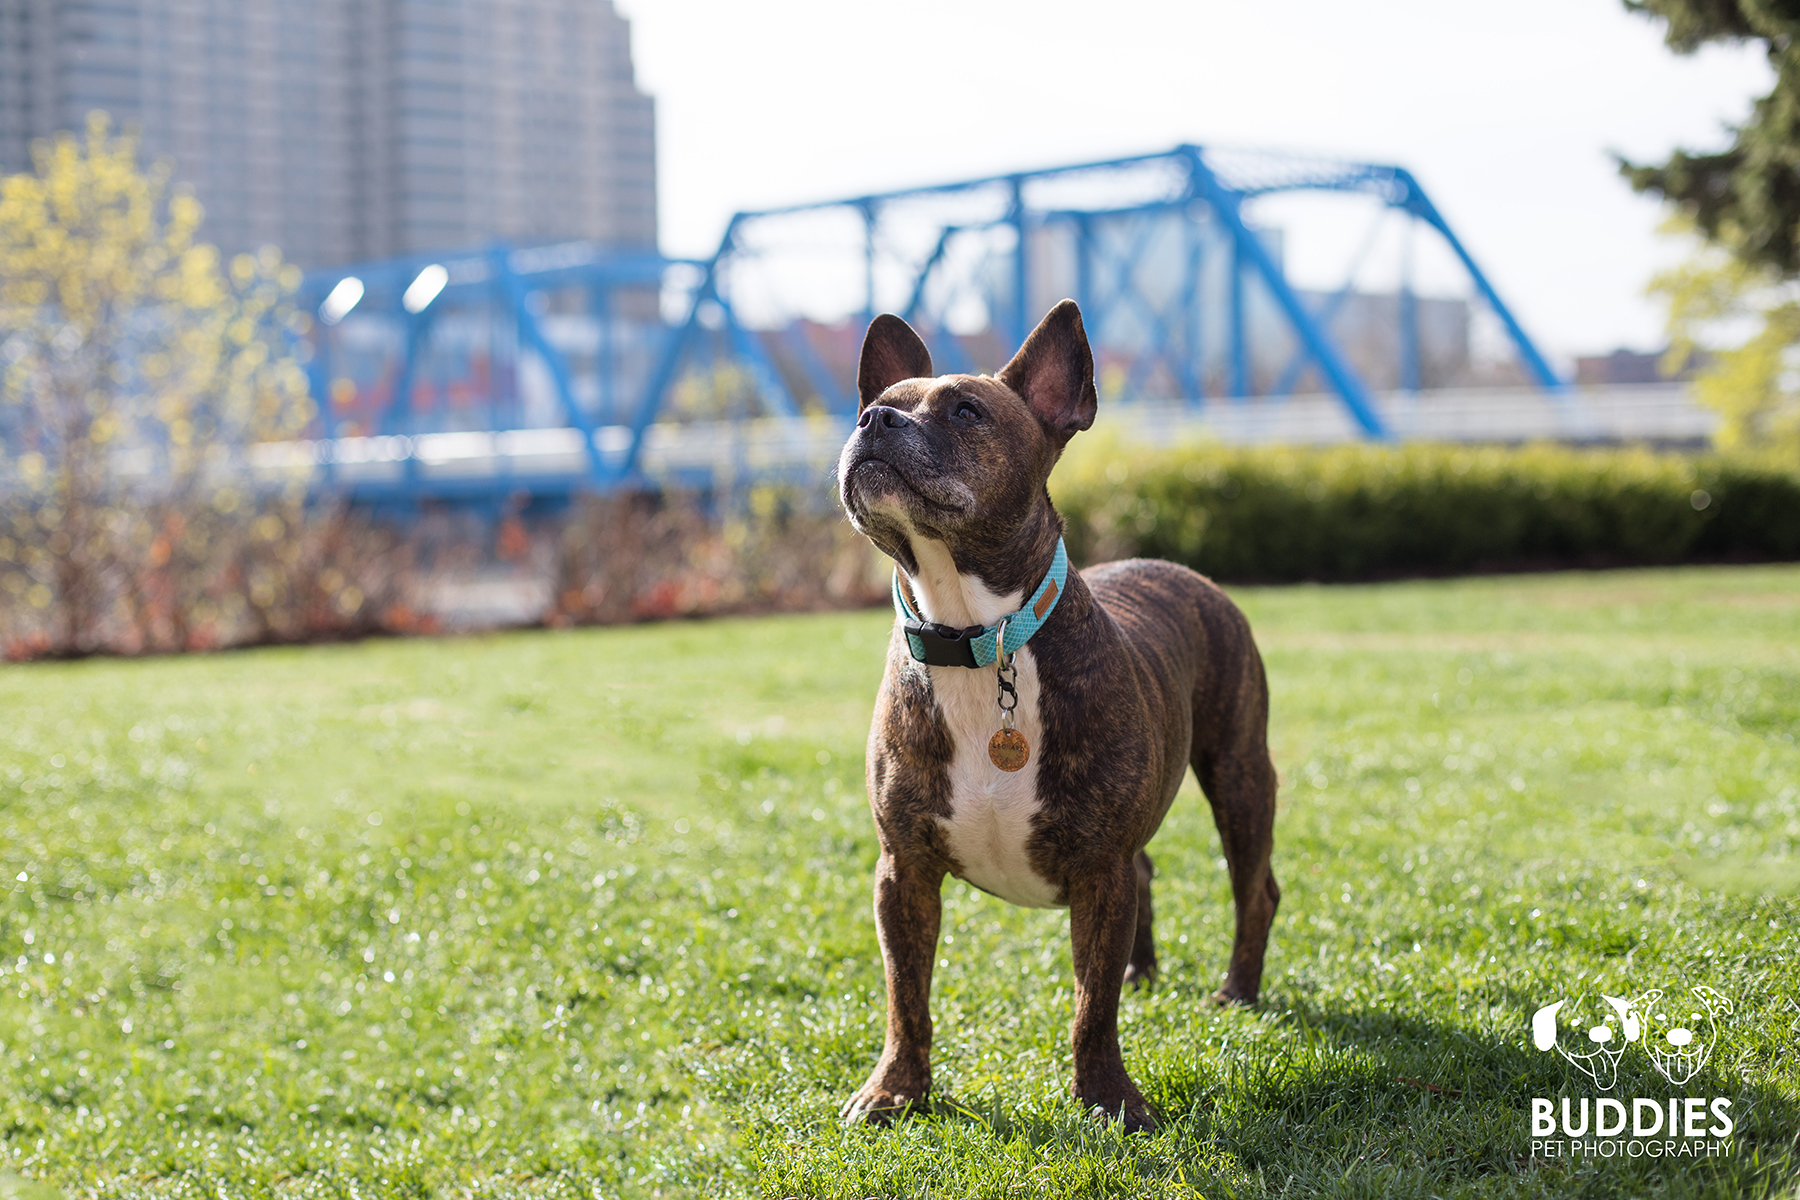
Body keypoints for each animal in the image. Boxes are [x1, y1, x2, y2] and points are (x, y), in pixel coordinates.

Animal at [831, 300, 1274, 1137]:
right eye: (877, 403)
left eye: (966, 412)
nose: (874, 420)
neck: (976, 638)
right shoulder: (903, 870)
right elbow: (908, 997)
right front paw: (897, 1090)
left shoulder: (1098, 868)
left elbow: (1088, 1010)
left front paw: (1108, 1099)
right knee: (1149, 878)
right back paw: (1143, 968)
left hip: (1239, 774)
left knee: (1254, 889)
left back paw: (1238, 992)